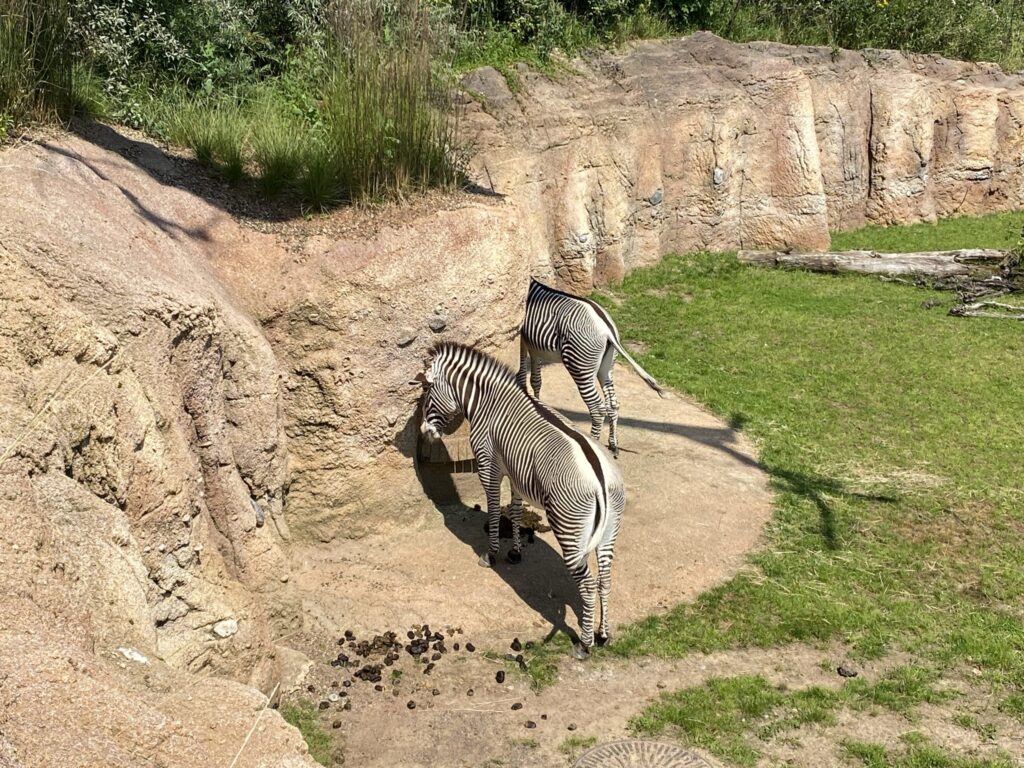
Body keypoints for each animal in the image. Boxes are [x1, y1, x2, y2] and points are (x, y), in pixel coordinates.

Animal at [416, 341, 625, 659]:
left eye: (428, 391)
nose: (424, 433)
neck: (487, 402)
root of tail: (600, 479)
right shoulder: (515, 474)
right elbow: (514, 511)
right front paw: (514, 552)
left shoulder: (488, 464)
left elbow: (492, 510)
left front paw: (491, 554)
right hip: (608, 531)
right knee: (606, 579)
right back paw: (603, 634)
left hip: (569, 529)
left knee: (588, 585)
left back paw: (585, 644)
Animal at [518, 277, 665, 458]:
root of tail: (608, 330)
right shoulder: (534, 346)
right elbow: (536, 380)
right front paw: (538, 404)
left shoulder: (525, 341)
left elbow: (525, 375)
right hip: (605, 368)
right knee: (613, 403)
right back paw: (613, 445)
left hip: (580, 366)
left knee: (597, 409)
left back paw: (595, 442)